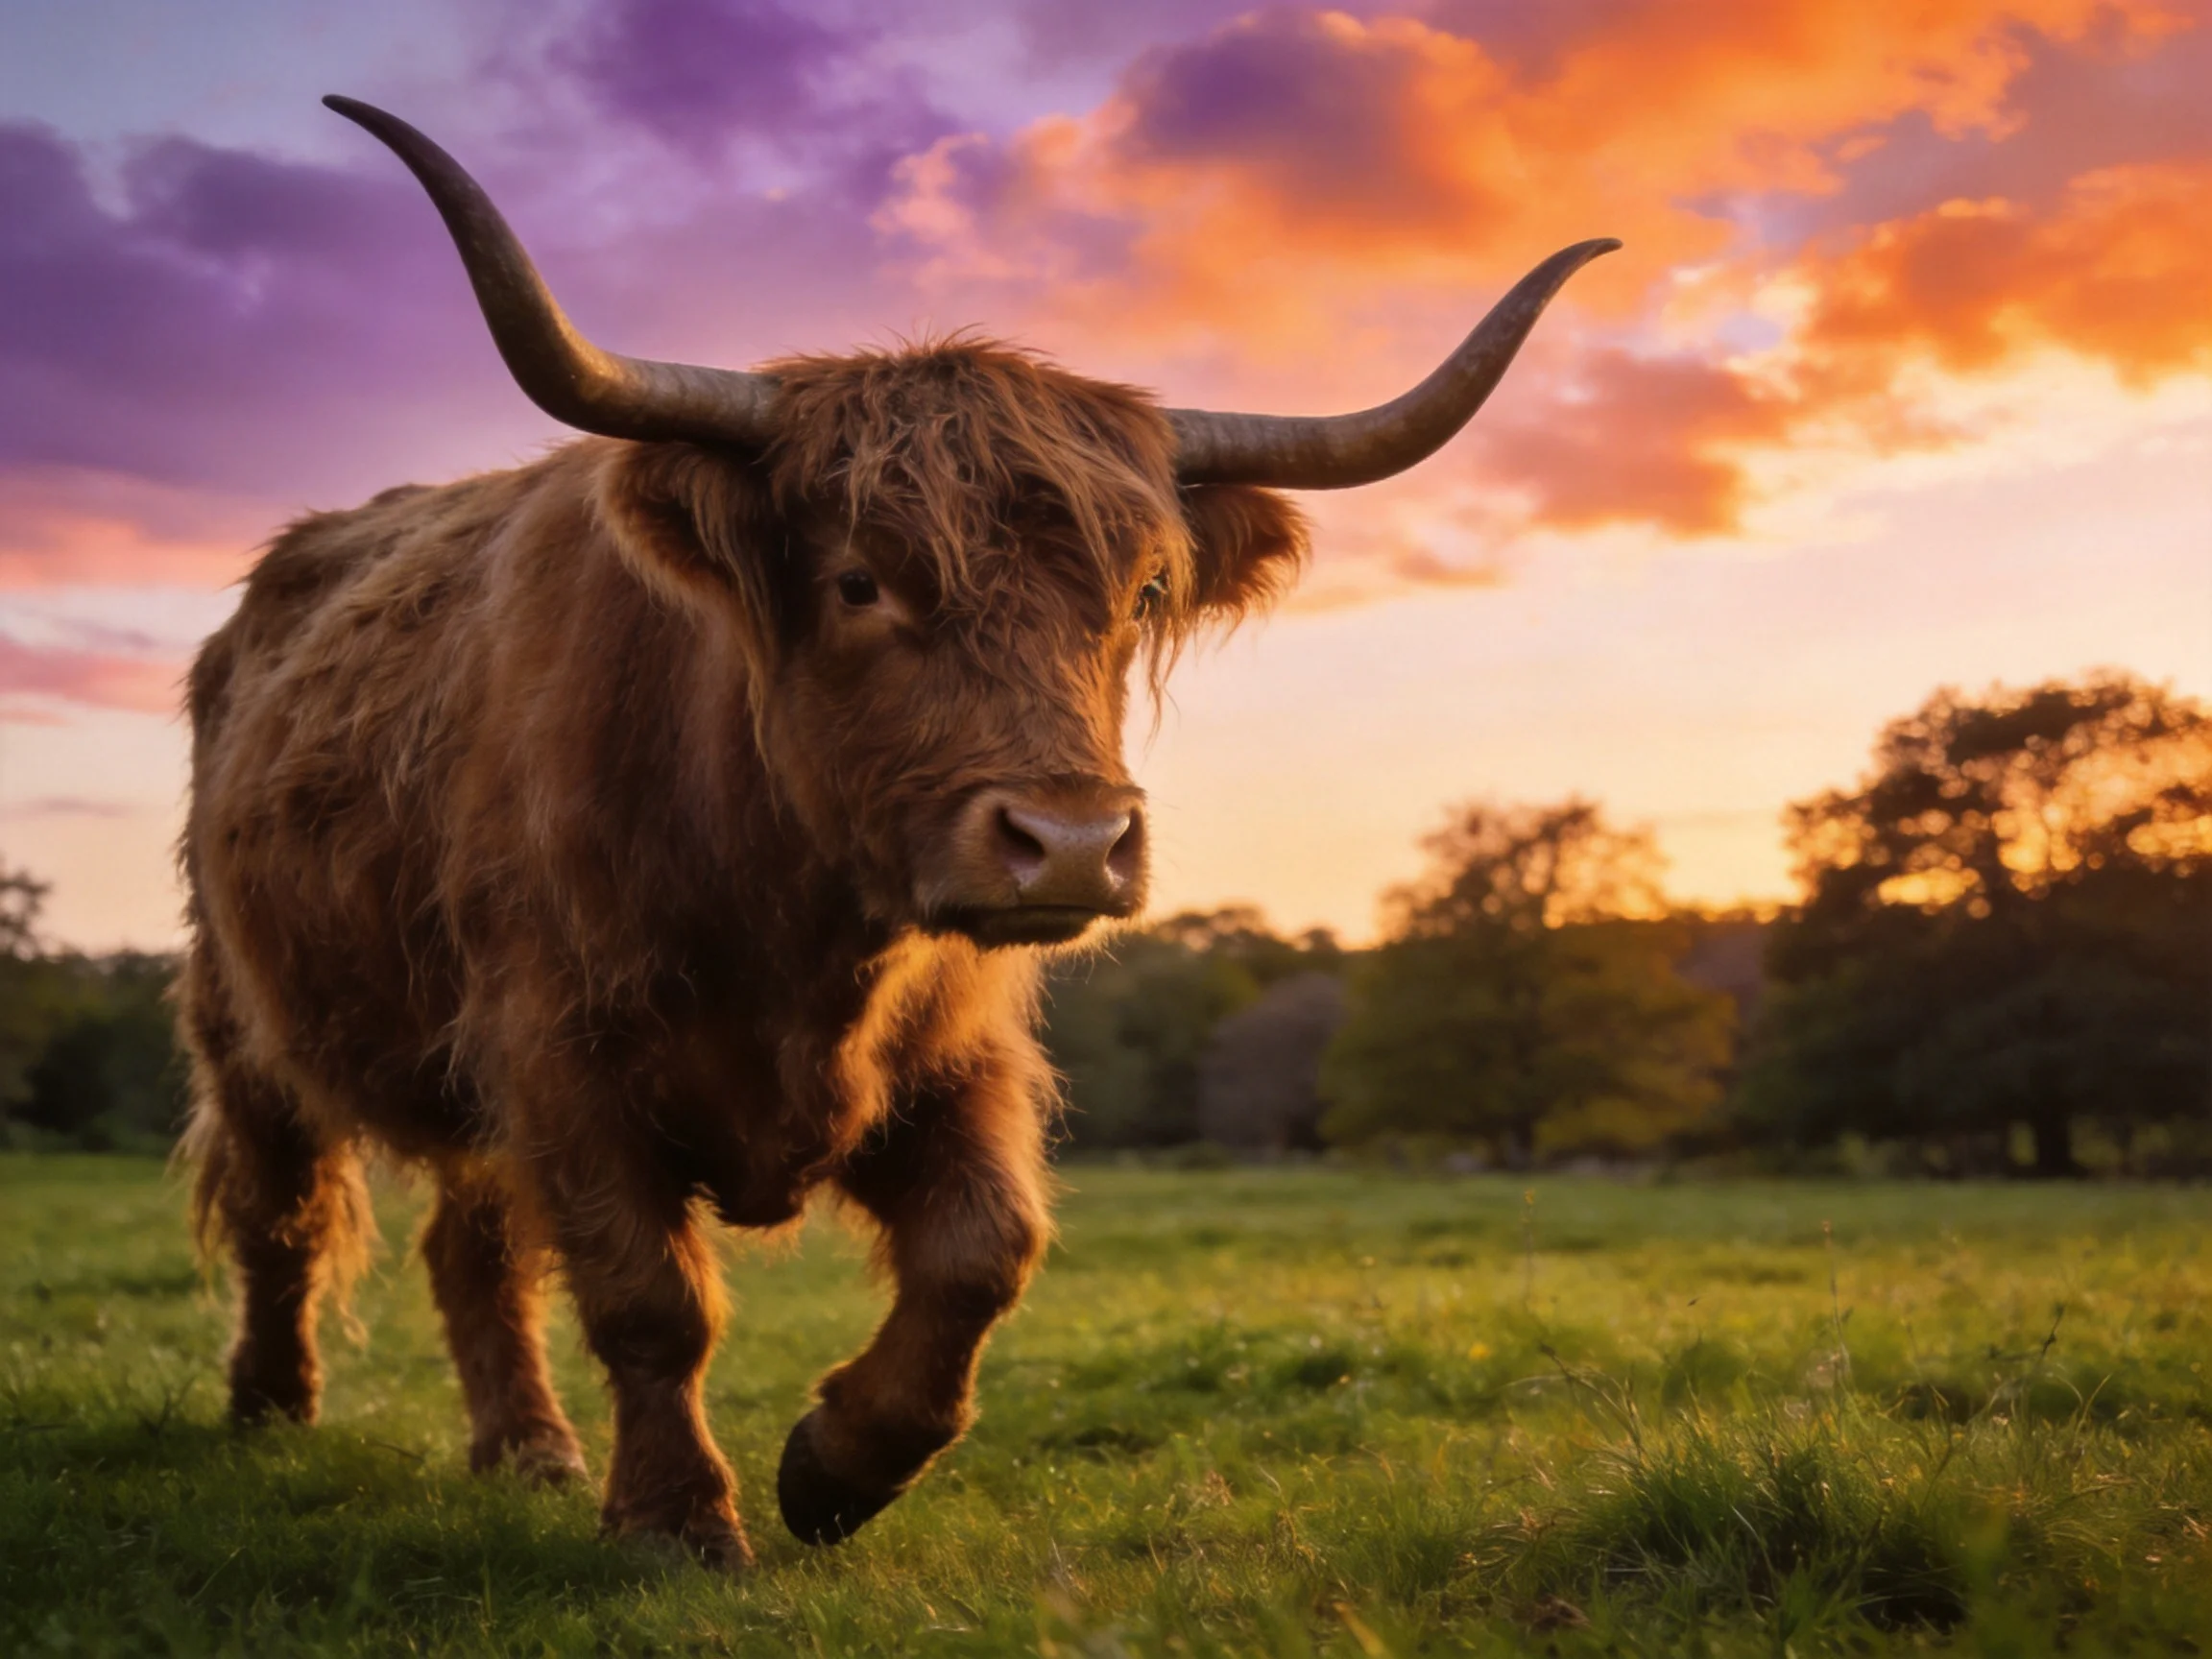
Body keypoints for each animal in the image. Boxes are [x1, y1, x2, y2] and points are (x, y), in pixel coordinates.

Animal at [181, 94, 1614, 1568]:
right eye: (860, 581)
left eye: (1142, 592)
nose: (1072, 840)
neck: (795, 931)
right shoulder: (557, 1047)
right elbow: (650, 1298)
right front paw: (677, 1520)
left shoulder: (954, 1053)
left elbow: (986, 1253)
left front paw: (835, 1466)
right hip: (243, 1013)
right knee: (282, 1205)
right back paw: (272, 1411)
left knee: (471, 1246)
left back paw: (525, 1450)